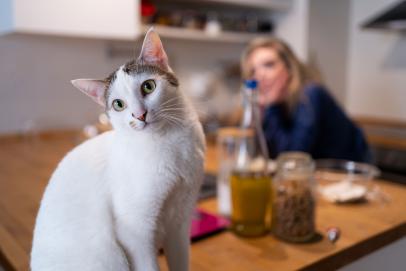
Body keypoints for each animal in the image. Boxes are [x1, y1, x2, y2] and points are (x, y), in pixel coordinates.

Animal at [30, 28, 206, 271]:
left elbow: (181, 261)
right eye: (118, 105)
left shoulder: (180, 223)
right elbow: (148, 264)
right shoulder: (135, 231)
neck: (170, 142)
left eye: (148, 86)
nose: (140, 115)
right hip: (109, 257)